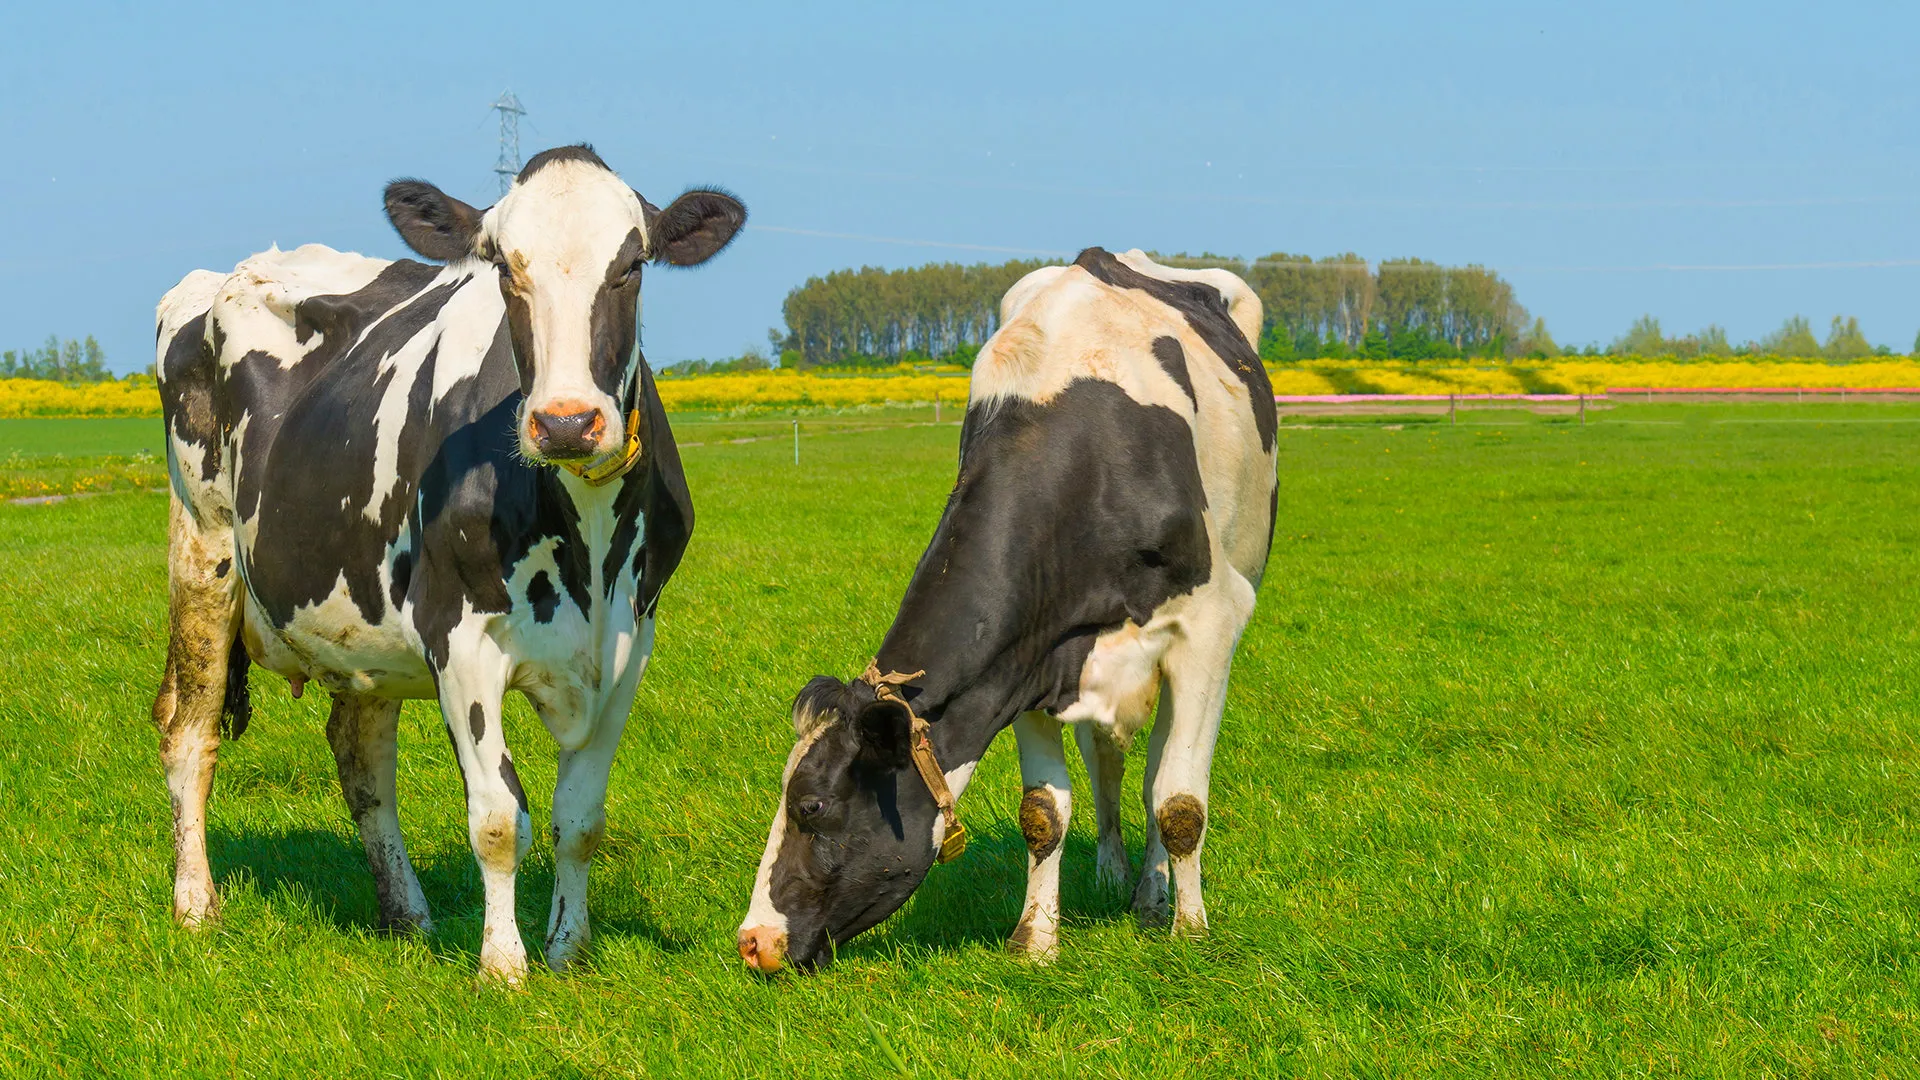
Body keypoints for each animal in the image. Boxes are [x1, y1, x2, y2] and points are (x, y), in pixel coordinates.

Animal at [151, 145, 744, 984]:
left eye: (631, 266)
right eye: (502, 266)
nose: (567, 422)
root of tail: (224, 274)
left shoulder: (631, 644)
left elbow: (580, 819)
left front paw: (568, 950)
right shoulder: (460, 638)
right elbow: (498, 819)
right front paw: (504, 966)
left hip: (357, 618)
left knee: (361, 759)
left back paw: (406, 916)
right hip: (203, 552)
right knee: (189, 734)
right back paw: (197, 907)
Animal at [736, 247, 1277, 972]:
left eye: (811, 805)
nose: (753, 942)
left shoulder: (1207, 626)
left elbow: (1179, 801)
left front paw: (1190, 933)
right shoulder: (1027, 661)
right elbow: (1044, 812)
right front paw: (1035, 940)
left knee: (1157, 772)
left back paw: (1153, 892)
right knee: (1109, 760)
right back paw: (1115, 875)